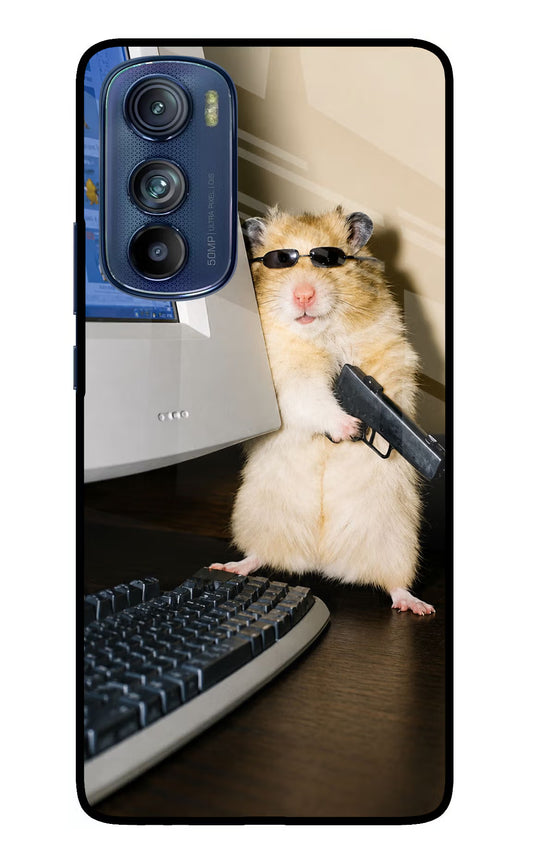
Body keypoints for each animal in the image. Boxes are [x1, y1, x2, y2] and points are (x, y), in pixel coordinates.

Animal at [211, 206, 435, 615]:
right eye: (280, 260)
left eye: (328, 259)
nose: (303, 295)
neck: (319, 334)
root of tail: (321, 560)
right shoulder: (287, 378)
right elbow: (312, 398)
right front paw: (350, 428)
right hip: (257, 517)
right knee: (259, 555)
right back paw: (230, 566)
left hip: (396, 541)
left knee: (394, 583)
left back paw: (417, 605)